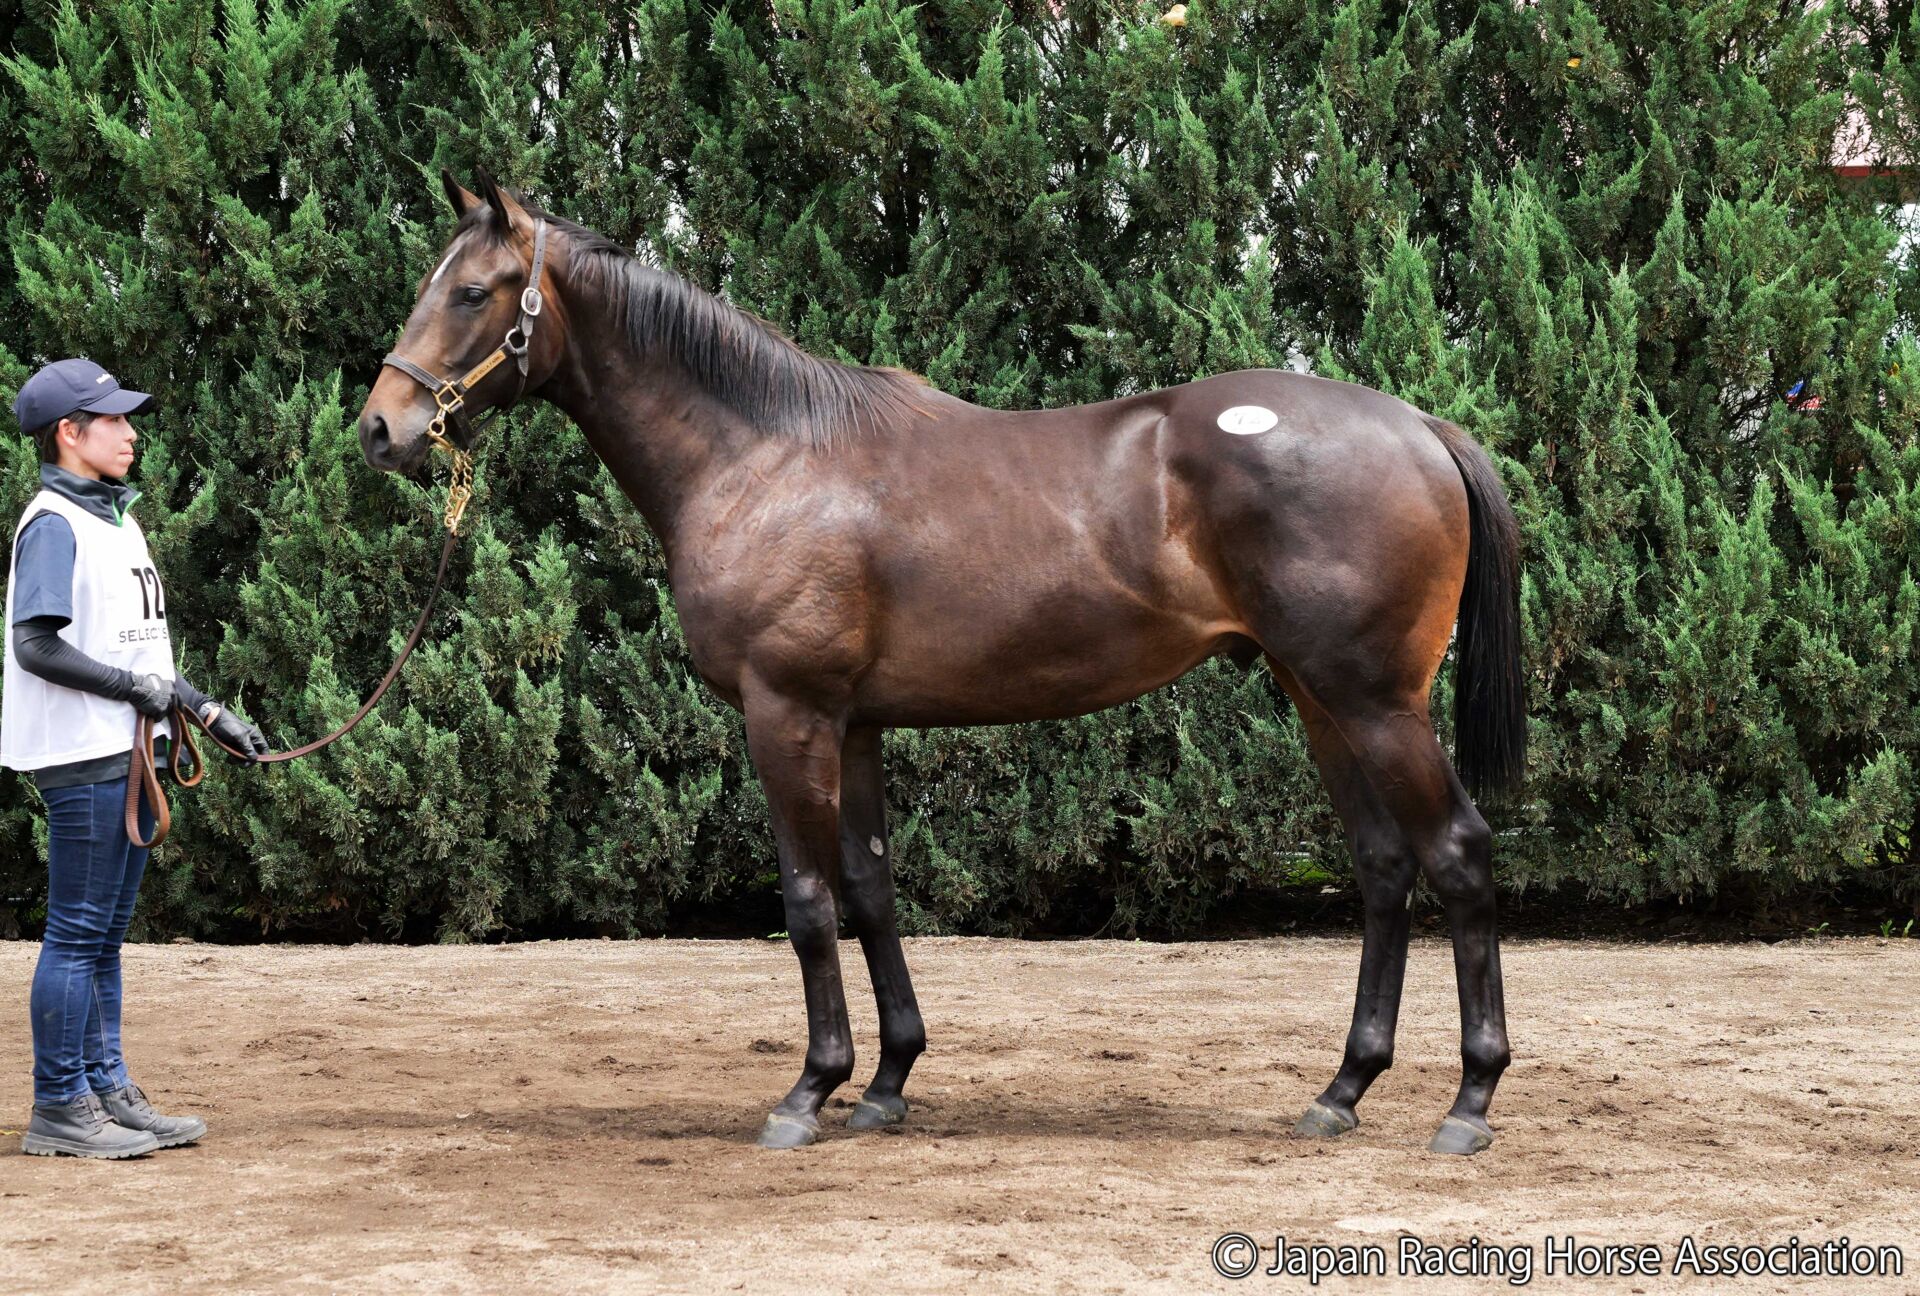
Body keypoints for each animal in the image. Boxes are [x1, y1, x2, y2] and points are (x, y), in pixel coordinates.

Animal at [355, 171, 1525, 1156]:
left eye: (471, 292)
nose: (380, 429)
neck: (767, 455)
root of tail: (1419, 425)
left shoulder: (786, 712)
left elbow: (806, 899)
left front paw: (807, 1093)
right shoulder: (858, 723)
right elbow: (872, 888)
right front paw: (884, 1086)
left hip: (1374, 703)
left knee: (1457, 852)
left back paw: (1469, 1103)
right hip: (1317, 698)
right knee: (1383, 865)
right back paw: (1341, 1091)